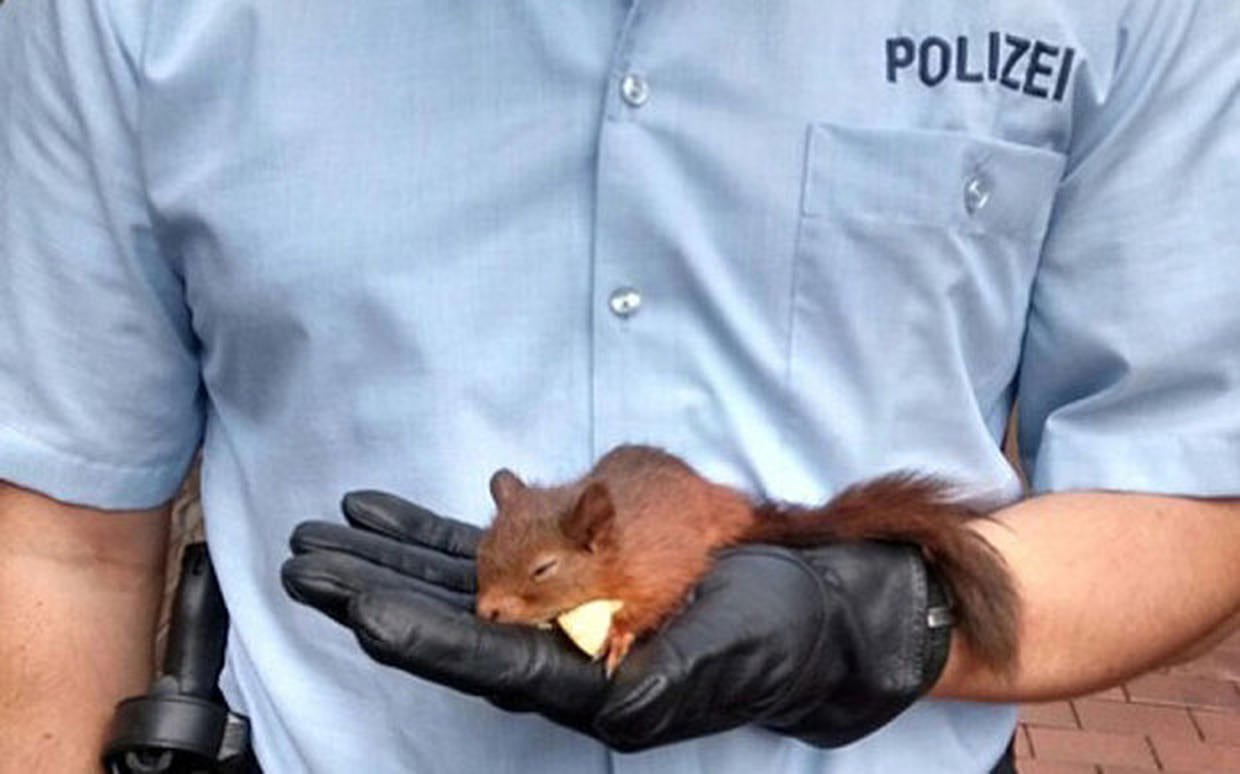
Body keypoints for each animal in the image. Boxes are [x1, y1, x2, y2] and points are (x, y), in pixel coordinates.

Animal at [475, 444, 1019, 677]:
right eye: (483, 551)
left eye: (543, 569)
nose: (485, 611)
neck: (617, 552)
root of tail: (720, 503)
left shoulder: (658, 565)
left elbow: (651, 603)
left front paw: (620, 637)